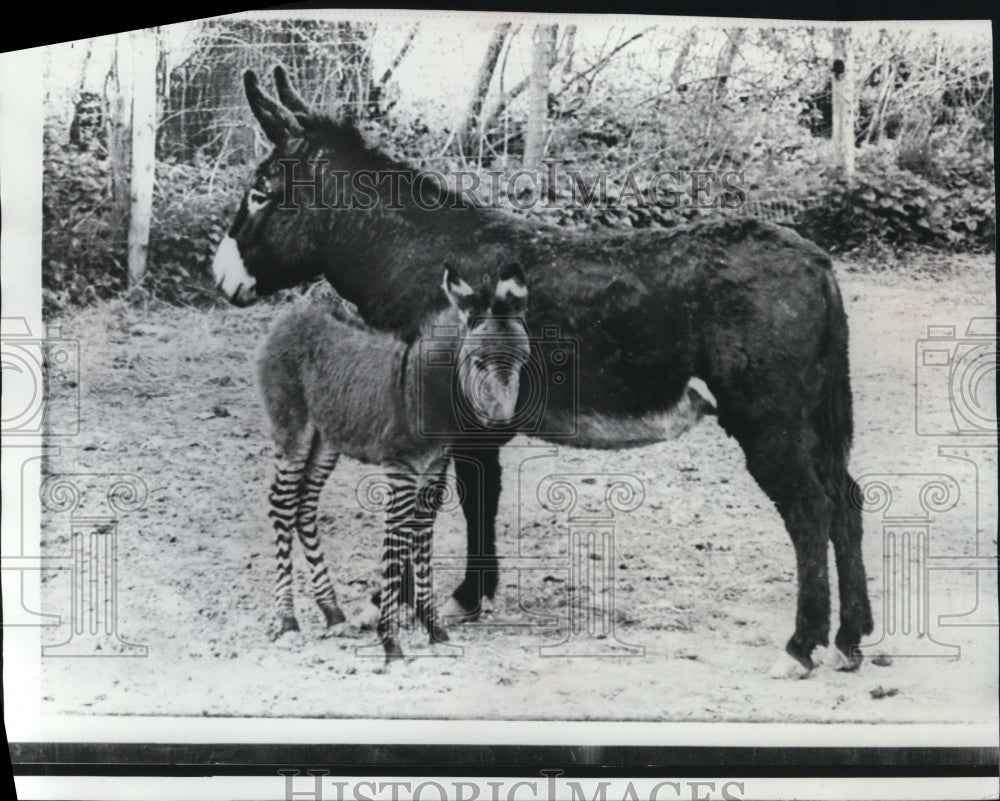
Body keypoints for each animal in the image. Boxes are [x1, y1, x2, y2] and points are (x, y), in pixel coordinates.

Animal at [256, 262, 532, 664]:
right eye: (478, 361)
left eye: (523, 359)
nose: (500, 425)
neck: (428, 394)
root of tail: (294, 312)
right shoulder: (401, 468)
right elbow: (398, 539)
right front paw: (390, 643)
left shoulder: (433, 471)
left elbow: (421, 539)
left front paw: (435, 631)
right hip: (293, 430)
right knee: (282, 503)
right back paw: (288, 621)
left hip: (326, 440)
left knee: (304, 505)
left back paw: (332, 612)